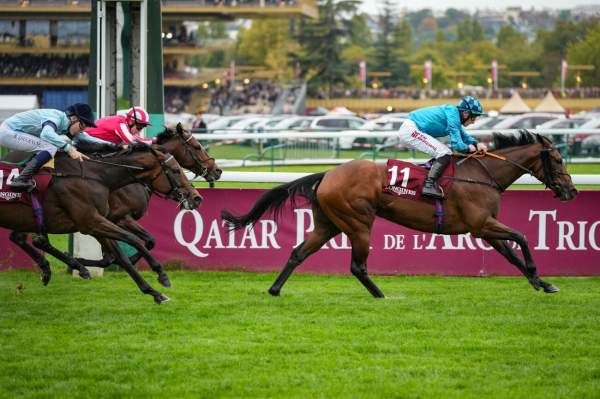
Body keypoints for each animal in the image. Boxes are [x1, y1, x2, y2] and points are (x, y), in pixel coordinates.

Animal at [0, 144, 202, 304]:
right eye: (175, 171)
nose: (197, 198)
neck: (96, 177)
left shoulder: (97, 223)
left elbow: (125, 255)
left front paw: (154, 292)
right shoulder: (97, 221)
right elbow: (134, 240)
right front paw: (162, 275)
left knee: (24, 238)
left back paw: (56, 269)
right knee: (33, 240)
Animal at [223, 131, 580, 296]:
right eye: (558, 160)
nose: (571, 191)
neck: (483, 174)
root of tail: (327, 174)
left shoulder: (486, 229)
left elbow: (512, 254)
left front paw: (542, 283)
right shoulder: (482, 225)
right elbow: (522, 237)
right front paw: (539, 277)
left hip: (328, 224)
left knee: (298, 252)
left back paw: (275, 289)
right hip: (358, 222)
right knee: (357, 266)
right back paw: (381, 294)